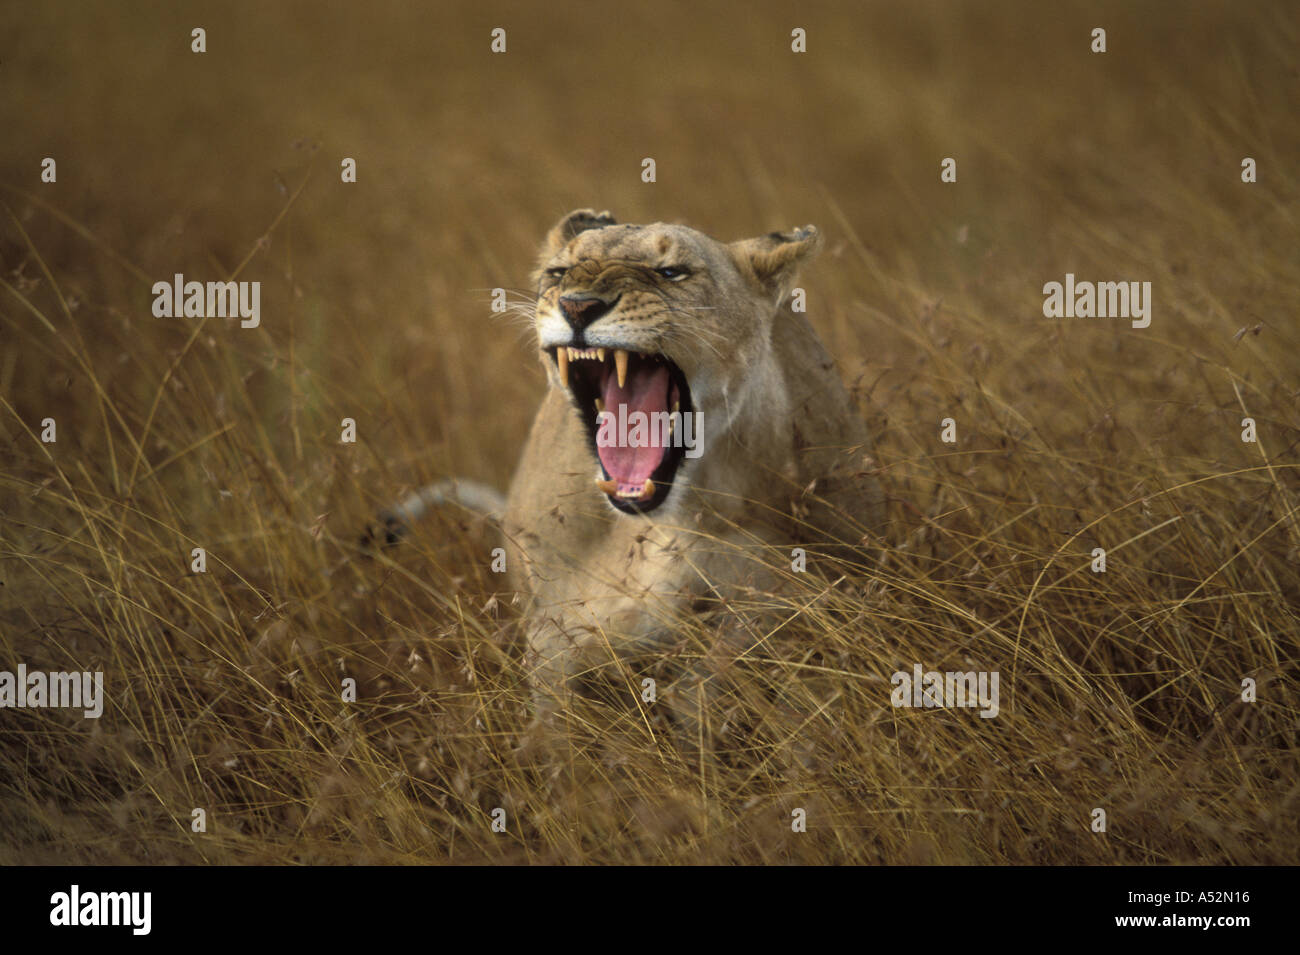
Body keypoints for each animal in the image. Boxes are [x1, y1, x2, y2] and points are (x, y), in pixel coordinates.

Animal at [383, 209, 885, 752]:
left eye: (671, 272)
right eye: (559, 272)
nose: (578, 306)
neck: (672, 519)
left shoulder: (798, 593)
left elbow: (730, 664)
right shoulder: (552, 633)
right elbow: (557, 720)